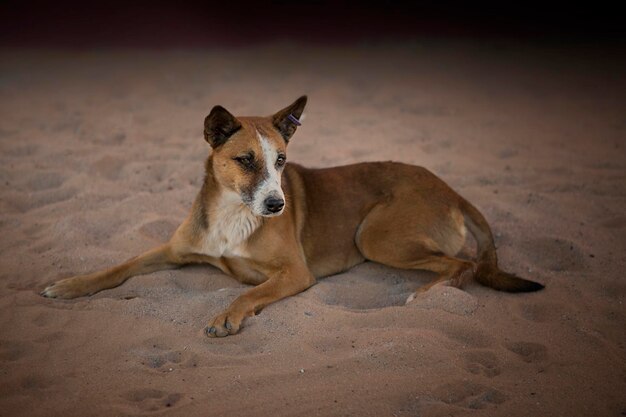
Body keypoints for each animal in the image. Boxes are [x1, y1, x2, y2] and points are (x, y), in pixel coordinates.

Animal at [41, 96, 544, 336]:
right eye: (245, 160)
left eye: (282, 160)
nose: (276, 205)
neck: (233, 211)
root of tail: (452, 189)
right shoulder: (172, 249)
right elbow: (118, 267)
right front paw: (69, 285)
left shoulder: (296, 273)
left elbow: (248, 292)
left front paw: (227, 316)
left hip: (375, 236)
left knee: (466, 264)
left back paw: (424, 295)